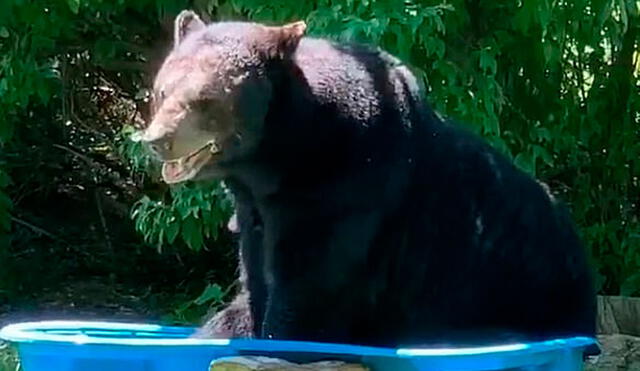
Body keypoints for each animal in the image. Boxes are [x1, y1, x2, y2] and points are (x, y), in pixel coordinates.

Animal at [135, 8, 600, 352]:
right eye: (162, 90)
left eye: (204, 99)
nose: (158, 140)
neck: (280, 158)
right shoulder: (255, 210)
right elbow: (254, 285)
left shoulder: (346, 189)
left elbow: (311, 286)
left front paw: (282, 335)